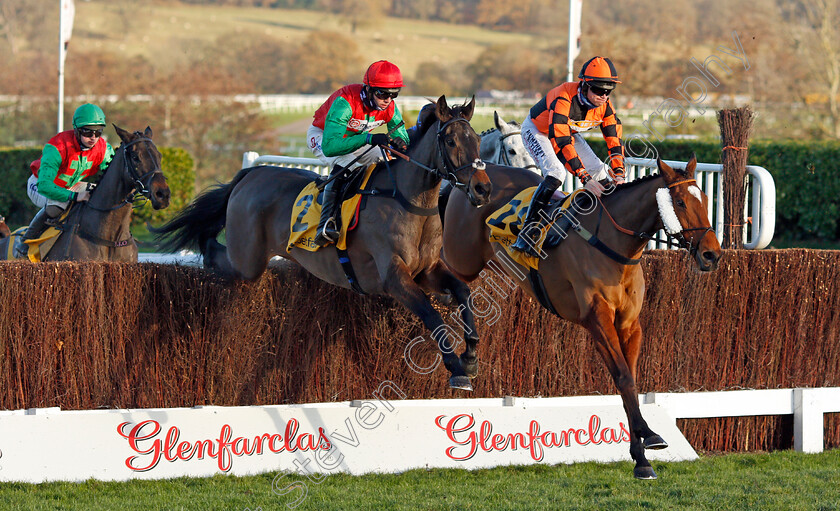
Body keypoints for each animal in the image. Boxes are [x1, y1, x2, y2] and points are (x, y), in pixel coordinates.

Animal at [155, 96, 492, 390]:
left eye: (477, 139)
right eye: (451, 141)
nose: (483, 189)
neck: (408, 201)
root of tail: (251, 173)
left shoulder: (428, 269)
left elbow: (463, 292)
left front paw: (471, 355)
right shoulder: (394, 278)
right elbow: (431, 314)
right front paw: (457, 368)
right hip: (247, 260)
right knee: (218, 255)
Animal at [442, 157, 724, 480]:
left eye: (705, 200)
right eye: (679, 202)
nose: (712, 254)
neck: (613, 246)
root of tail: (470, 174)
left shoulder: (630, 324)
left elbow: (631, 379)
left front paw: (641, 454)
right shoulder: (597, 320)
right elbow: (623, 377)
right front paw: (648, 437)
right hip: (461, 258)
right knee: (445, 273)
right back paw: (463, 356)